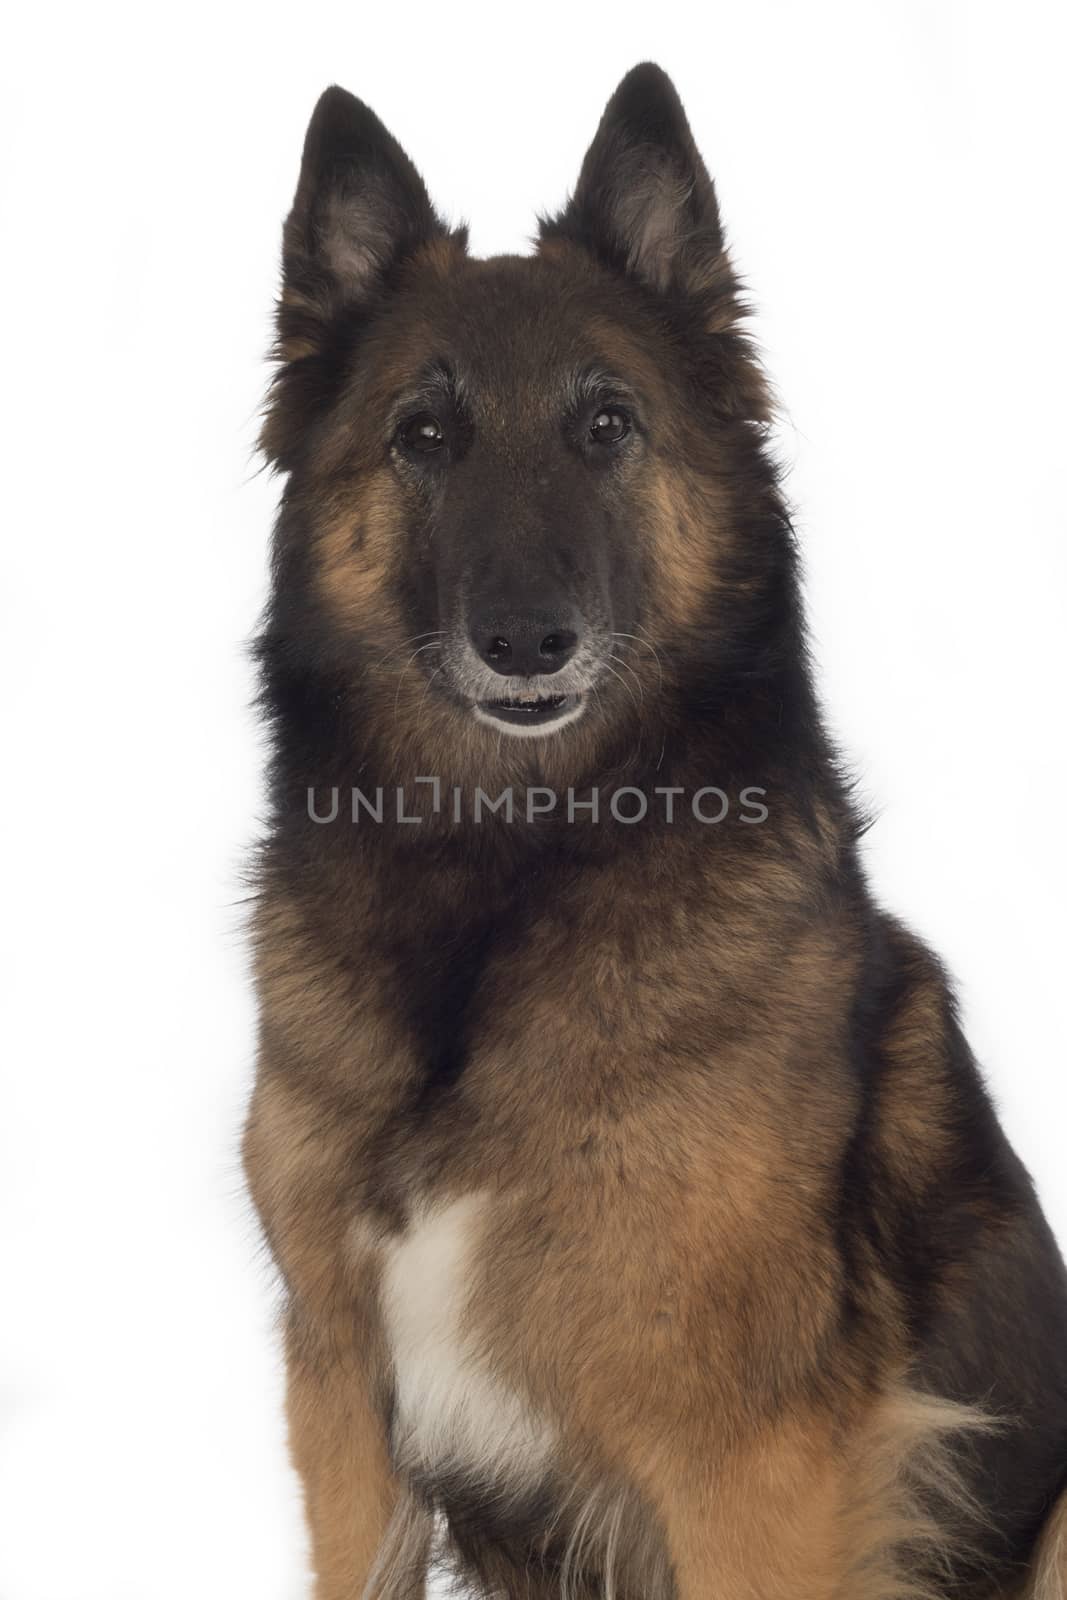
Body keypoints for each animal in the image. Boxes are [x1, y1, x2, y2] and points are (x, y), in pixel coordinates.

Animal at [246, 65, 1067, 1600]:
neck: (503, 877)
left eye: (606, 427)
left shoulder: (748, 1459)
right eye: (422, 436)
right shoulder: (340, 1408)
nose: (524, 642)